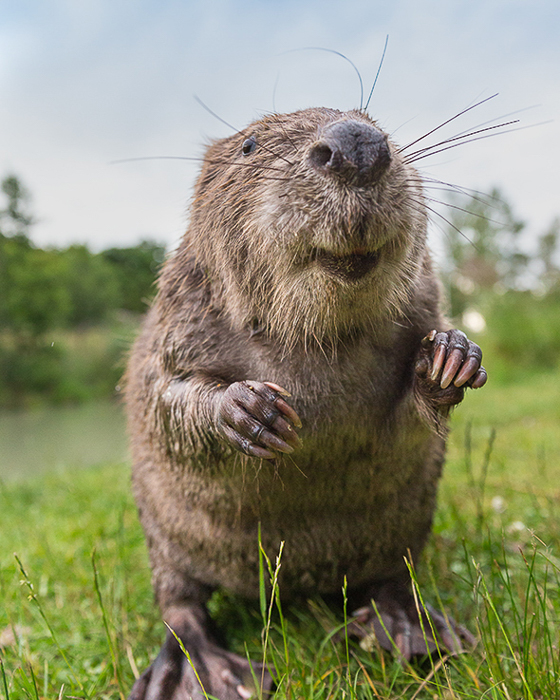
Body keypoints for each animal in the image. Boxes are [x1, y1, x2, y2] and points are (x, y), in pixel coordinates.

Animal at [123, 105, 486, 700]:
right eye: (249, 145)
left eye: (371, 119)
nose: (358, 146)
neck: (318, 337)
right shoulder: (178, 319)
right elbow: (165, 400)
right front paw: (252, 412)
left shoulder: (419, 310)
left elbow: (405, 421)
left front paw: (452, 357)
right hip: (166, 547)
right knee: (181, 608)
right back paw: (211, 674)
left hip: (398, 541)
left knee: (392, 578)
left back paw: (412, 634)